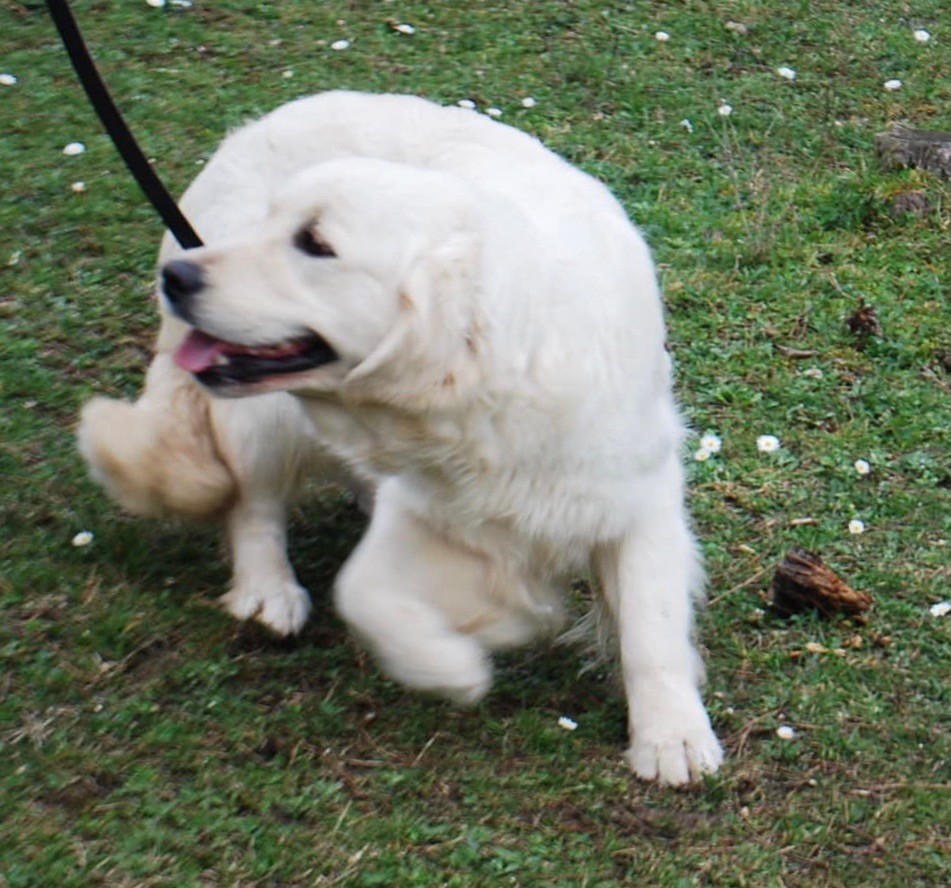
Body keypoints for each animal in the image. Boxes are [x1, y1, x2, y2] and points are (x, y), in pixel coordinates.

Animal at [80, 90, 720, 784]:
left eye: (315, 244)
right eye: (272, 223)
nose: (178, 278)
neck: (498, 379)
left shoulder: (637, 493)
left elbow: (651, 628)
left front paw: (672, 735)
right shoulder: (425, 504)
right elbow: (362, 592)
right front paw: (461, 659)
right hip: (265, 414)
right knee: (254, 507)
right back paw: (267, 590)